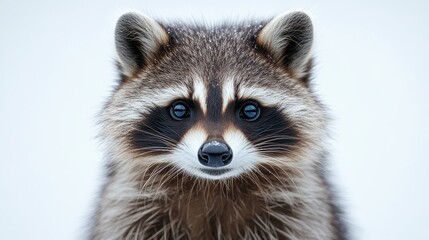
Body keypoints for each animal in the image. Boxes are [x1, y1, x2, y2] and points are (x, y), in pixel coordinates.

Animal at [89, 10, 344, 239]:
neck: (213, 187)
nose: (214, 151)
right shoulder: (128, 208)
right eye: (180, 109)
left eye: (249, 110)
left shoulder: (301, 210)